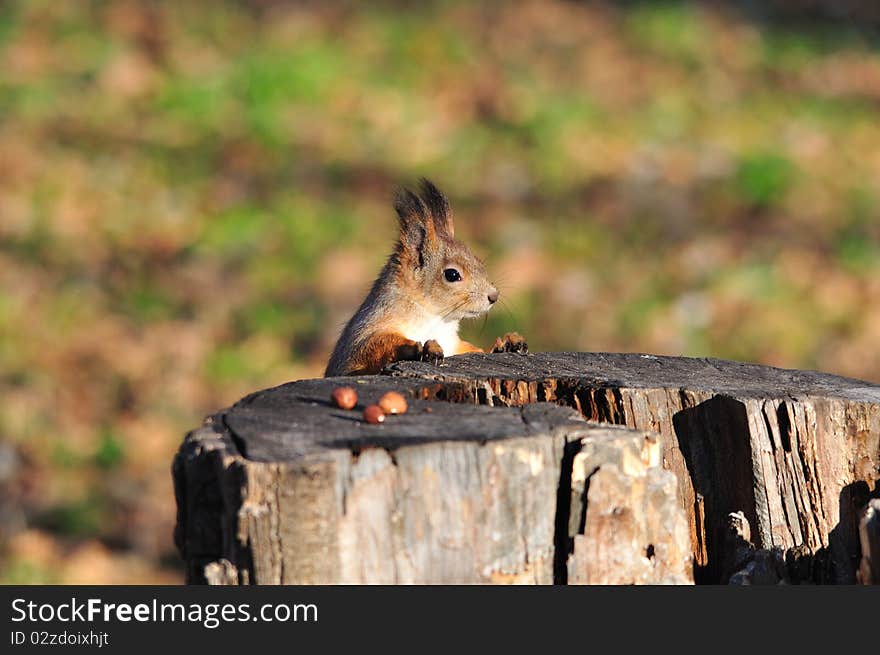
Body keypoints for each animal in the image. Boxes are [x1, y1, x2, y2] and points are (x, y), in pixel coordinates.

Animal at [326, 179, 524, 376]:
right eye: (452, 274)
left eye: (478, 261)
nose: (494, 296)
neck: (435, 320)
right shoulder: (363, 336)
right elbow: (371, 349)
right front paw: (419, 348)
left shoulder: (454, 345)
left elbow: (477, 350)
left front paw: (508, 343)